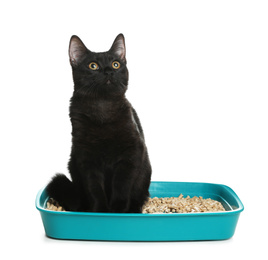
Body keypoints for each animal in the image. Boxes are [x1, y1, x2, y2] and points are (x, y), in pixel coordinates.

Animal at [46, 34, 152, 213]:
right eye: (93, 66)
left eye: (116, 64)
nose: (108, 71)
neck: (102, 106)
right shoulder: (86, 158)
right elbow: (94, 188)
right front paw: (100, 211)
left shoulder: (131, 154)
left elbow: (121, 185)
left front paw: (118, 211)